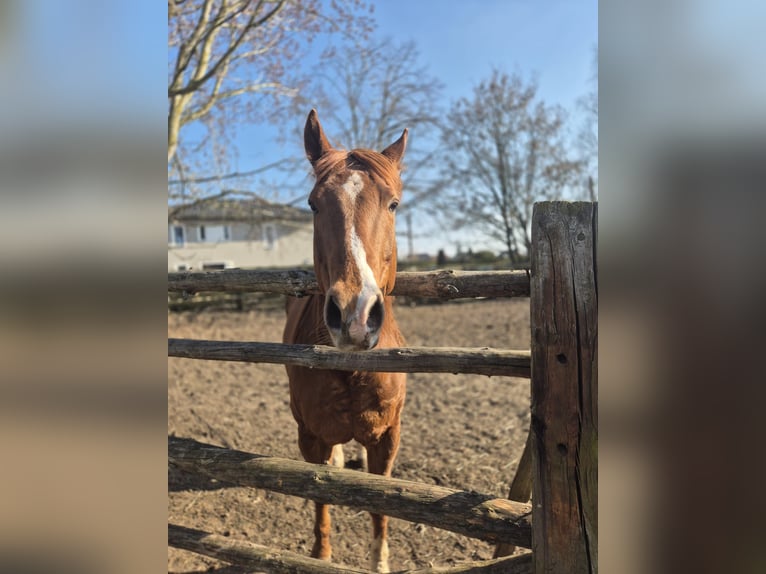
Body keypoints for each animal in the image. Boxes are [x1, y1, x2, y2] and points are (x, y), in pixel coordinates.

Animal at [283, 109, 408, 573]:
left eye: (393, 203)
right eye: (313, 203)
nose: (354, 315)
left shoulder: (387, 438)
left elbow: (381, 506)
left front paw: (380, 563)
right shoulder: (310, 437)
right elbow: (319, 496)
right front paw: (320, 556)